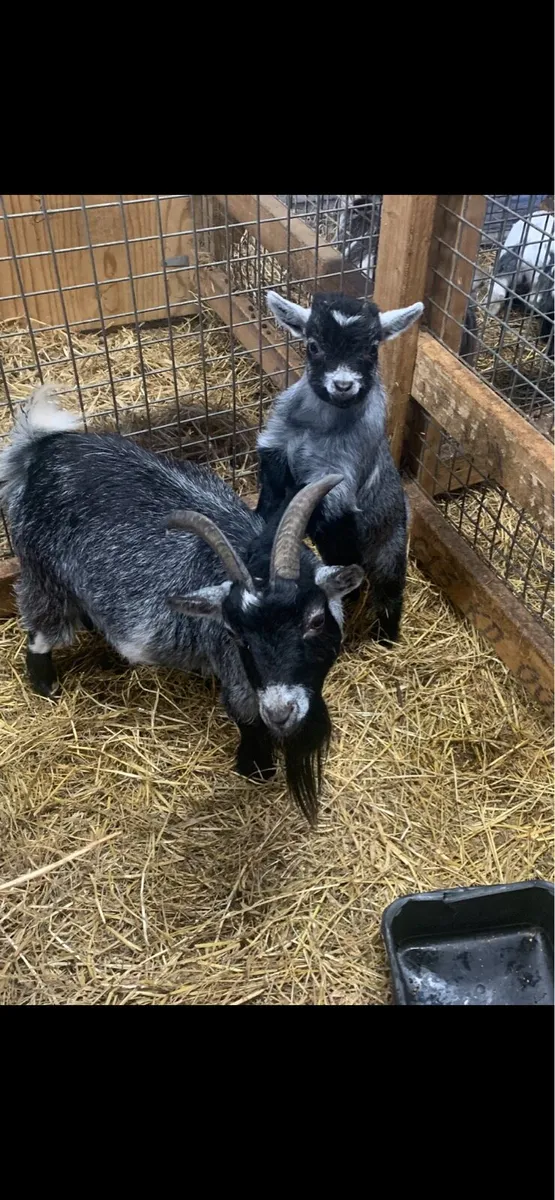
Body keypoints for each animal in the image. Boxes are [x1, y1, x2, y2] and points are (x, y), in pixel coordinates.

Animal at [0, 386, 364, 823]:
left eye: (314, 621)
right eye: (239, 637)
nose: (281, 712)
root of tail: (41, 448)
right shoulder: (236, 669)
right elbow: (246, 715)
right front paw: (256, 768)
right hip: (43, 572)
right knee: (40, 626)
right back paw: (46, 684)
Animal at [256, 290, 424, 645]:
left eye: (372, 348)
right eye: (313, 345)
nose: (343, 386)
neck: (318, 427)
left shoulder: (337, 481)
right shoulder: (275, 453)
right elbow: (271, 504)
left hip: (389, 549)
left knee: (388, 592)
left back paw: (387, 640)